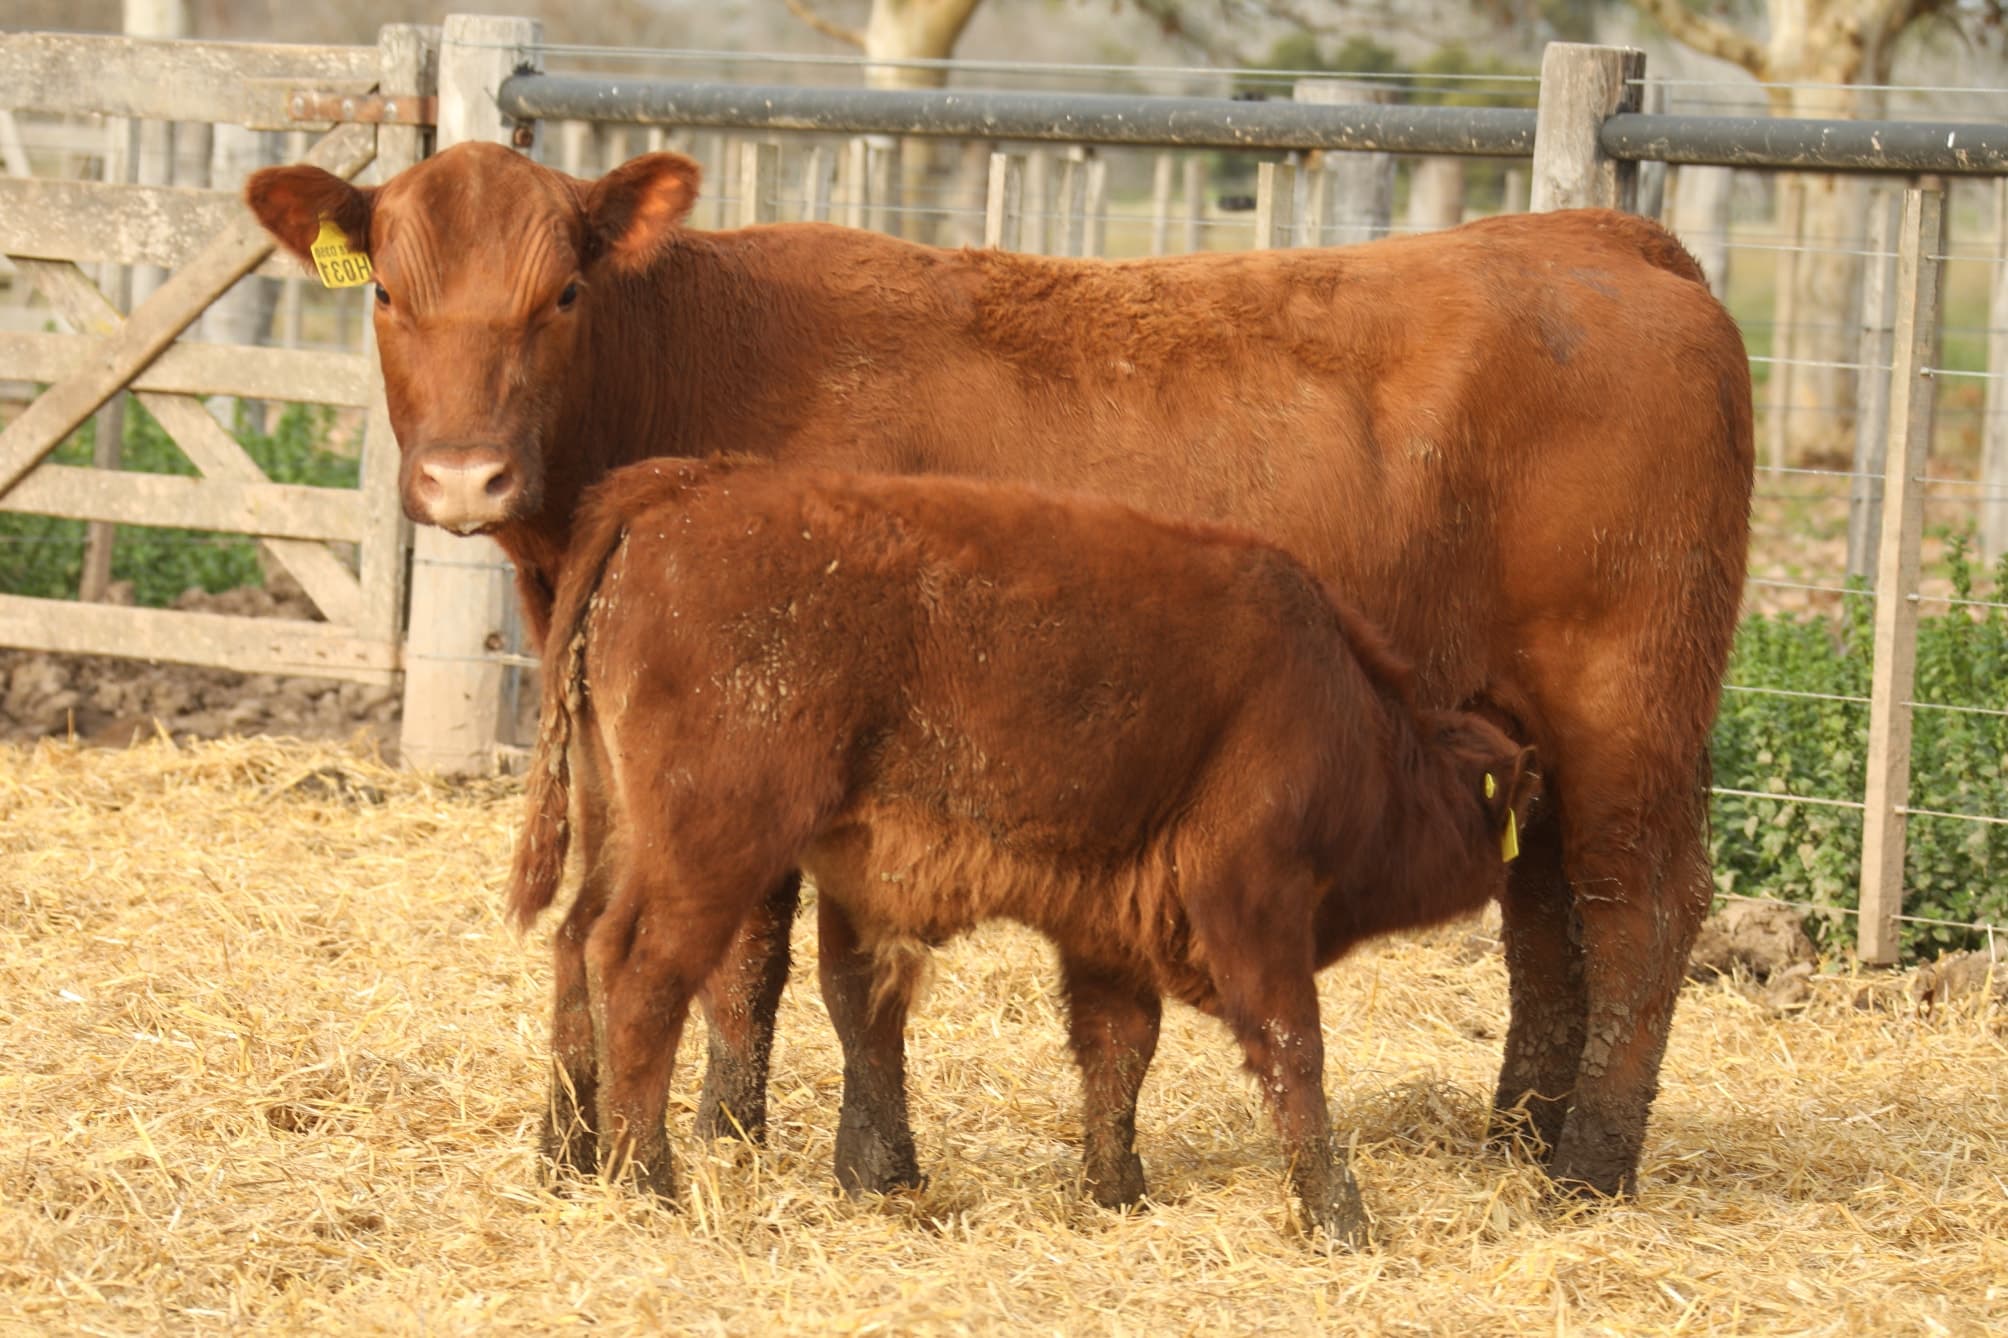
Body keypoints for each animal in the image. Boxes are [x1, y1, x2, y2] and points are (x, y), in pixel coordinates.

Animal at [507, 455, 1543, 1242]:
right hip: (708, 849)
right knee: (639, 972)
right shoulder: (1252, 898)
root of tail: (675, 490)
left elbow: (1120, 1048)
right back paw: (645, 1180)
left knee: (574, 949)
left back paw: (564, 1160)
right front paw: (1339, 1214)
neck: (1346, 710)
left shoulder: (1108, 921)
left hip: (618, 830)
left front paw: (1116, 1189)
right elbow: (1294, 1048)